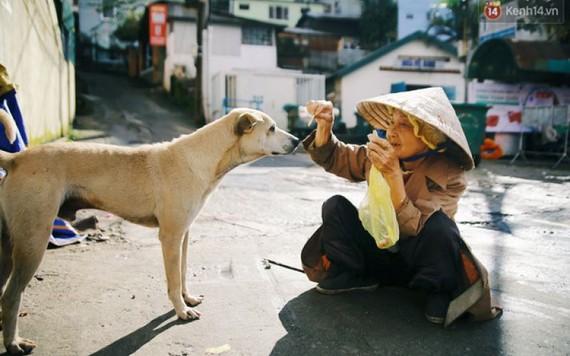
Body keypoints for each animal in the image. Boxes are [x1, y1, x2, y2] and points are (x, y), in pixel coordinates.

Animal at [0, 108, 300, 354]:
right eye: (272, 128)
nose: (298, 141)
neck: (203, 159)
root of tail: (17, 158)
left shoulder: (184, 235)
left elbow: (182, 272)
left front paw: (188, 299)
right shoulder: (170, 236)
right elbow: (174, 280)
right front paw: (181, 311)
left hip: (11, 244)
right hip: (32, 242)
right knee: (12, 295)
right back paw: (14, 343)